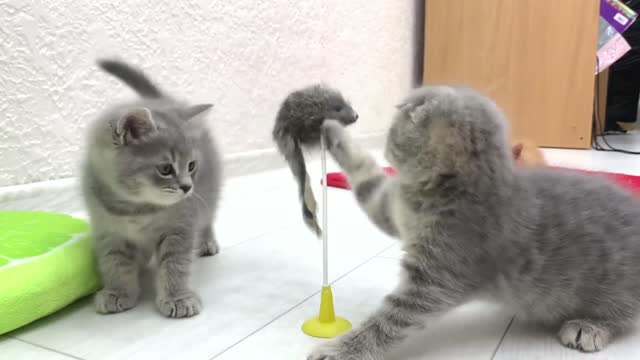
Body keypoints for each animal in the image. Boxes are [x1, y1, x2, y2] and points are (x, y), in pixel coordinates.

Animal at [82, 59, 222, 318]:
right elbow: (114, 262)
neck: (136, 208)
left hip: (209, 196)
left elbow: (175, 264)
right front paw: (117, 292)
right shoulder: (108, 231)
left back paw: (206, 242)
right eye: (165, 169)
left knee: (207, 219)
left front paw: (178, 298)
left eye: (191, 165)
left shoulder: (180, 227)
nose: (187, 187)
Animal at [310, 86, 640, 358]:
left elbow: (388, 322)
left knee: (626, 315)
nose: (386, 141)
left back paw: (590, 326)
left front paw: (339, 350)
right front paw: (331, 131)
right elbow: (366, 175)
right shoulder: (392, 209)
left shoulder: (436, 280)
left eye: (394, 130)